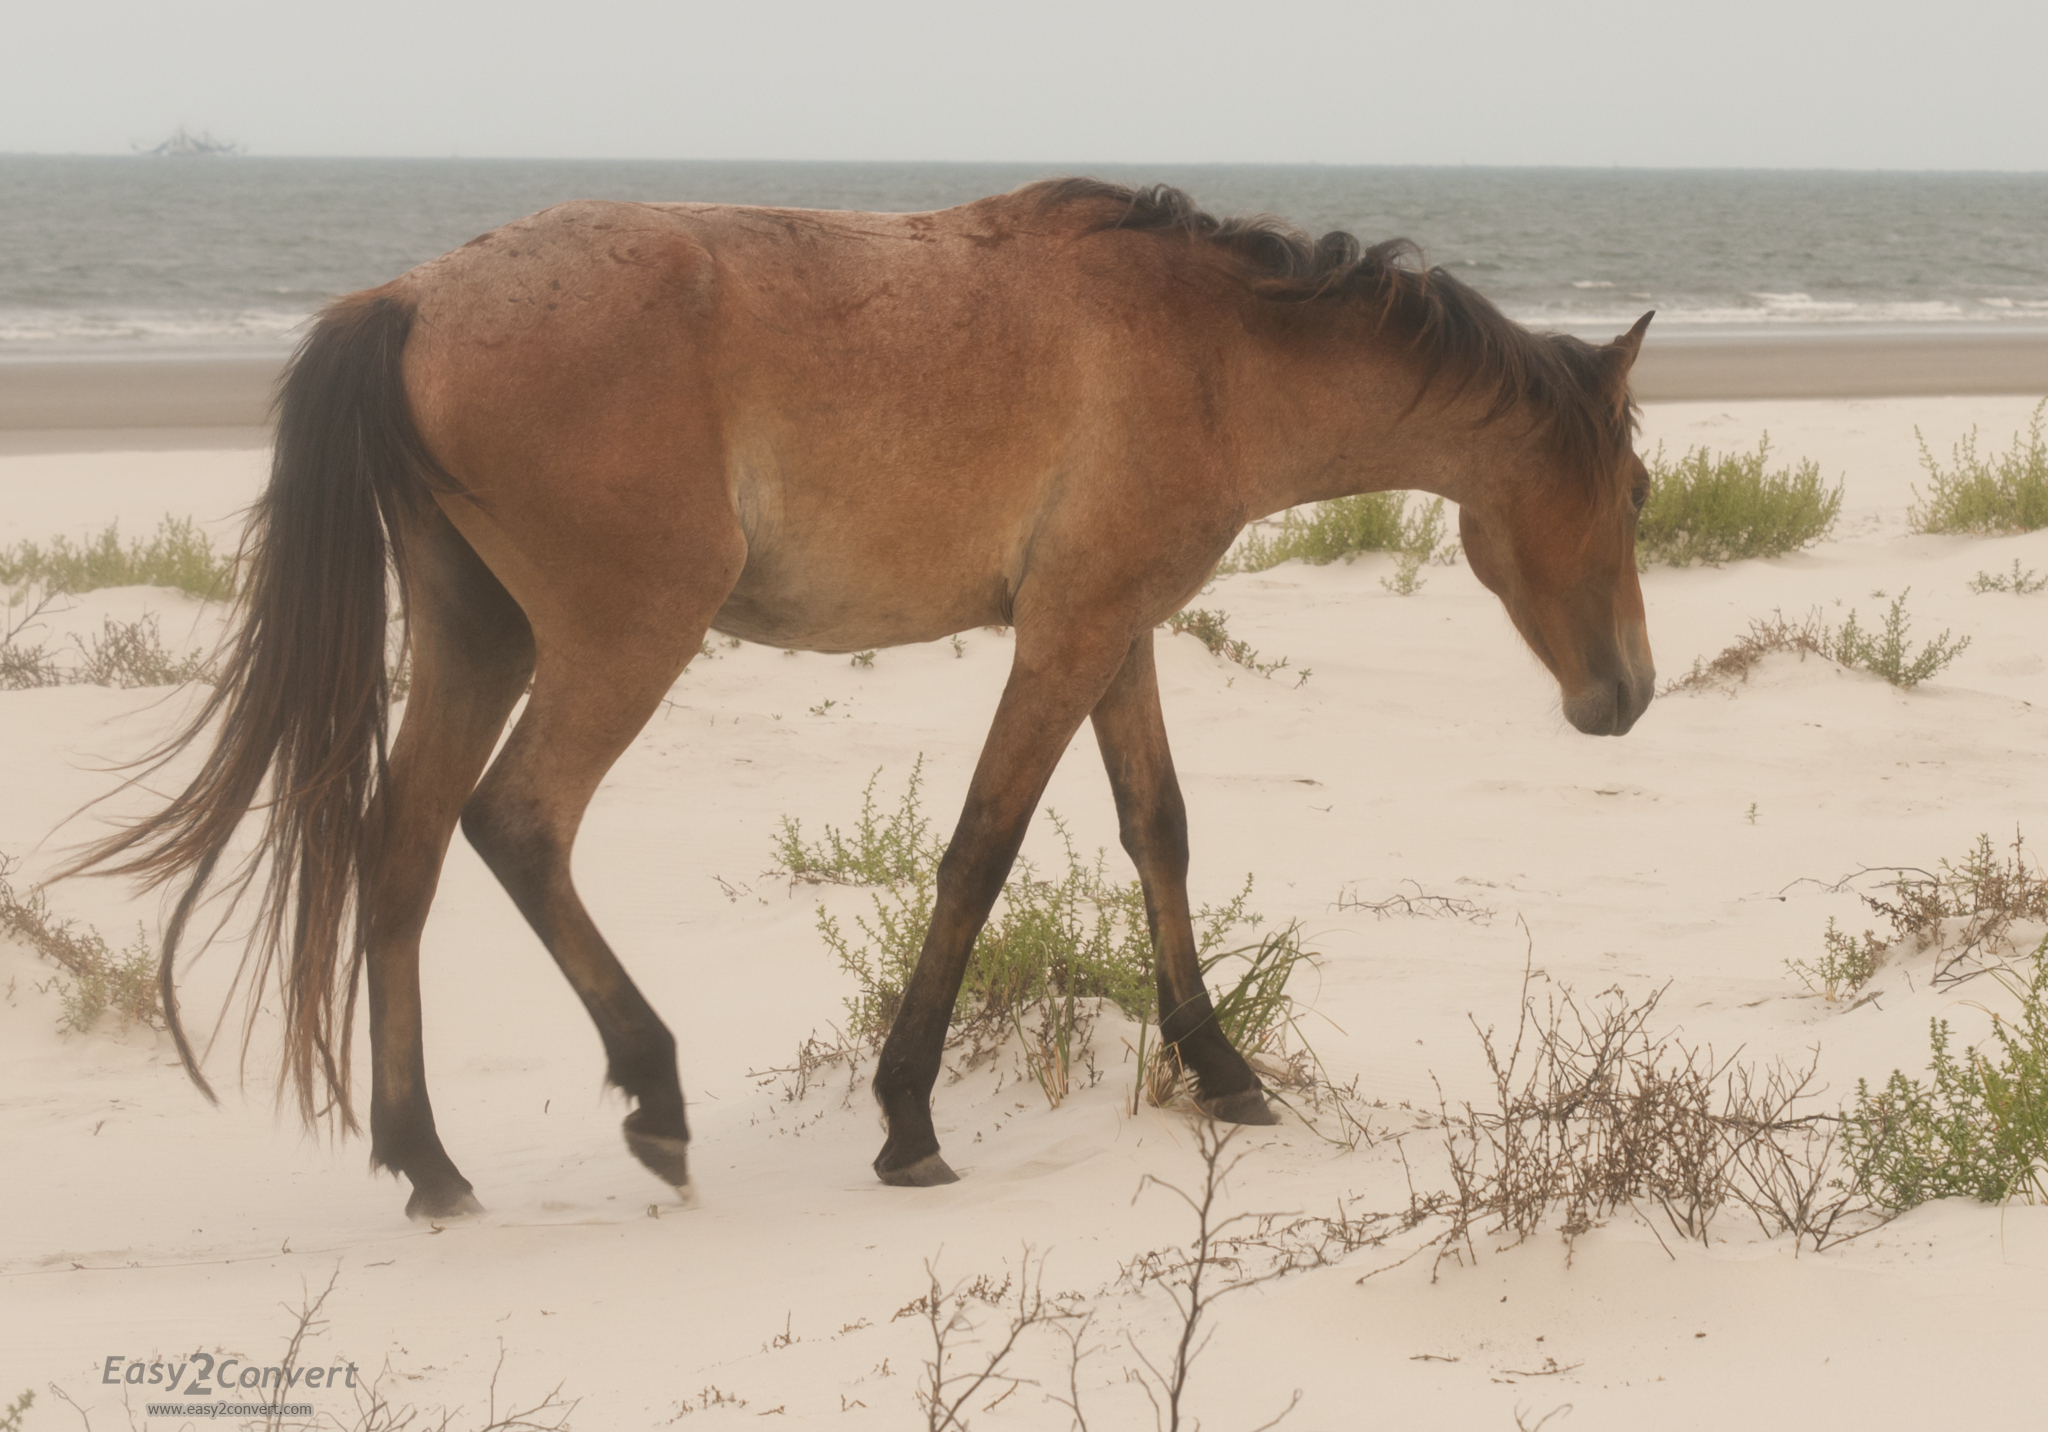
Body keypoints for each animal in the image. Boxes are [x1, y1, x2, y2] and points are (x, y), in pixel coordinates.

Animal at [67, 179, 1656, 1220]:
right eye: (1636, 493)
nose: (1628, 697)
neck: (1209, 349)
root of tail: (408, 297)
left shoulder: (1113, 633)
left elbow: (1158, 833)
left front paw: (1219, 1068)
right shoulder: (1067, 639)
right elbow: (981, 851)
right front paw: (906, 1118)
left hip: (478, 641)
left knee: (399, 854)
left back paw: (430, 1162)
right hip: (619, 640)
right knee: (515, 825)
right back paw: (651, 1094)